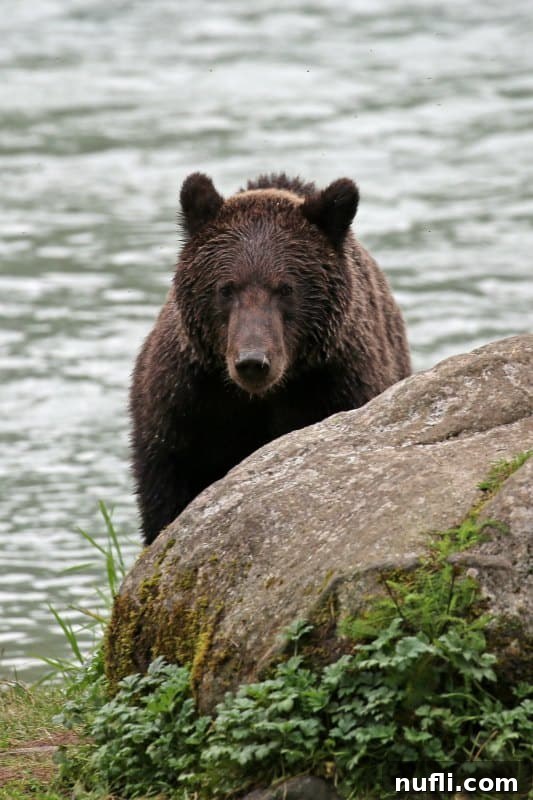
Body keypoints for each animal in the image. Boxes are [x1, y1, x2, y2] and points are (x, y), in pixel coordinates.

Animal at [130, 172, 411, 545]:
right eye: (226, 288)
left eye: (286, 288)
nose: (253, 361)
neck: (260, 397)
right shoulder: (186, 404)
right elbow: (167, 491)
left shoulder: (338, 386)